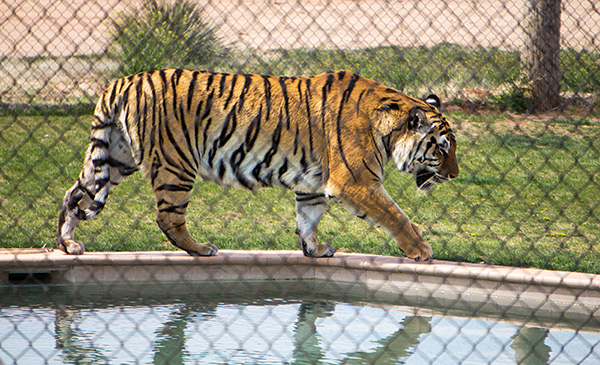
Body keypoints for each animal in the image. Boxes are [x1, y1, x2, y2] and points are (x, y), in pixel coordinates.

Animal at [57, 69, 460, 258]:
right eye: (442, 149)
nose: (455, 175)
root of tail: (122, 81)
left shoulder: (313, 185)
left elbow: (308, 218)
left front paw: (314, 250)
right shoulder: (356, 181)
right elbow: (396, 216)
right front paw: (422, 251)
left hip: (113, 159)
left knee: (74, 196)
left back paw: (68, 245)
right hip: (176, 164)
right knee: (168, 218)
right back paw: (201, 249)